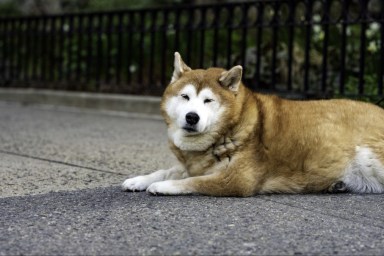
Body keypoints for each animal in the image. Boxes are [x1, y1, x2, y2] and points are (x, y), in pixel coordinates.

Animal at [122, 51, 384, 196]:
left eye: (208, 100)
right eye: (185, 97)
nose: (192, 117)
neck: (230, 129)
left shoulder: (238, 180)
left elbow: (191, 181)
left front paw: (163, 186)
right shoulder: (195, 164)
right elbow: (168, 170)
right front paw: (139, 180)